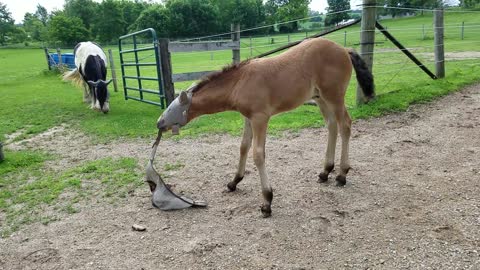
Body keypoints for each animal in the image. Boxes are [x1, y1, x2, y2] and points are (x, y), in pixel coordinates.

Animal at [156, 37, 374, 217]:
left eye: (171, 108)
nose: (159, 122)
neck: (240, 82)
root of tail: (344, 49)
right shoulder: (248, 118)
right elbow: (243, 147)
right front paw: (234, 181)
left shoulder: (260, 118)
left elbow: (258, 154)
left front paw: (267, 201)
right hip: (320, 98)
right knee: (332, 126)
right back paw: (325, 172)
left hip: (334, 96)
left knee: (345, 125)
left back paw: (342, 175)